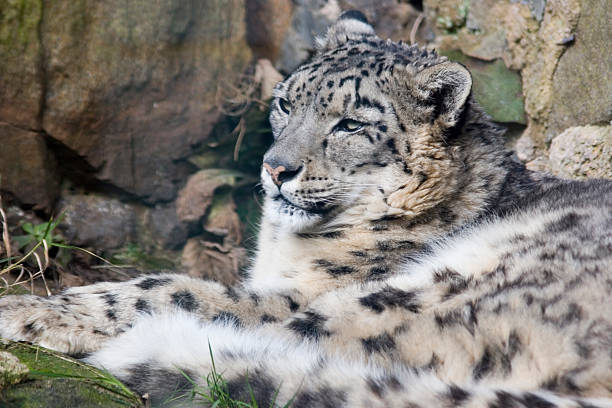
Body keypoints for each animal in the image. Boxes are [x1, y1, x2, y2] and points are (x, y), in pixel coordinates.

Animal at [1, 9, 612, 408]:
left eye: (351, 124)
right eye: (285, 102)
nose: (275, 168)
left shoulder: (299, 292)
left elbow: (173, 288)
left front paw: (28, 311)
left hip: (420, 297)